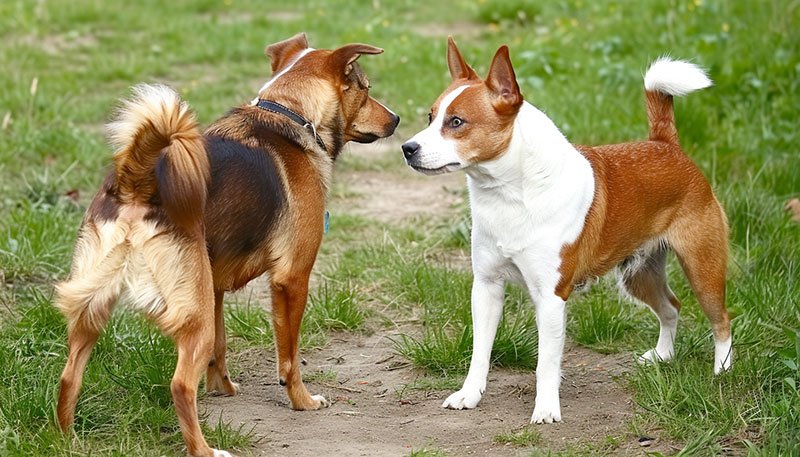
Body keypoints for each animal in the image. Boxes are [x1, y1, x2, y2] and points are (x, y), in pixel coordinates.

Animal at [54, 33, 398, 454]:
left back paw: (66, 439)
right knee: (180, 385)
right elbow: (289, 357)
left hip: (98, 305)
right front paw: (302, 400)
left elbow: (221, 346)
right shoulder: (292, 279)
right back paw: (204, 448)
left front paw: (222, 387)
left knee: (70, 376)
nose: (397, 119)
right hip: (192, 311)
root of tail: (138, 182)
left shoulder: (214, 284)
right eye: (365, 90)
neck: (290, 114)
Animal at [404, 38, 728, 424]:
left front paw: (546, 409)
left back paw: (723, 372)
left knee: (721, 320)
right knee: (671, 307)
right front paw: (470, 395)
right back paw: (662, 357)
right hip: (639, 273)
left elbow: (546, 362)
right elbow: (480, 352)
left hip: (703, 269)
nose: (408, 148)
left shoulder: (550, 297)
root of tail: (665, 145)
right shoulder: (486, 288)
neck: (512, 195)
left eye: (456, 122)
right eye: (430, 117)